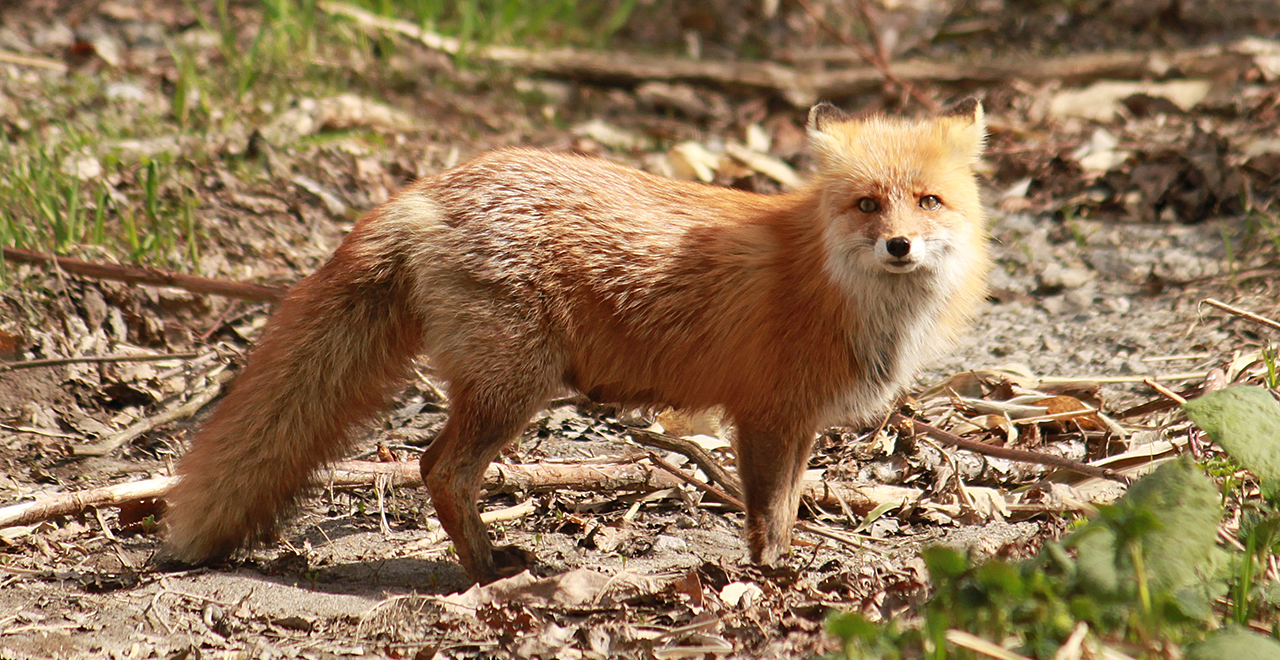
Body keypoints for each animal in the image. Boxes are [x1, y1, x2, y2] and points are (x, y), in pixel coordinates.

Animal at [165, 97, 993, 583]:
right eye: (867, 204)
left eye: (928, 201)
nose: (899, 246)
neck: (835, 288)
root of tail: (429, 190)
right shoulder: (765, 415)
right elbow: (767, 515)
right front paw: (770, 579)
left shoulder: (798, 422)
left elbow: (787, 507)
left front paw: (783, 569)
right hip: (514, 389)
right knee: (437, 468)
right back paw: (488, 568)